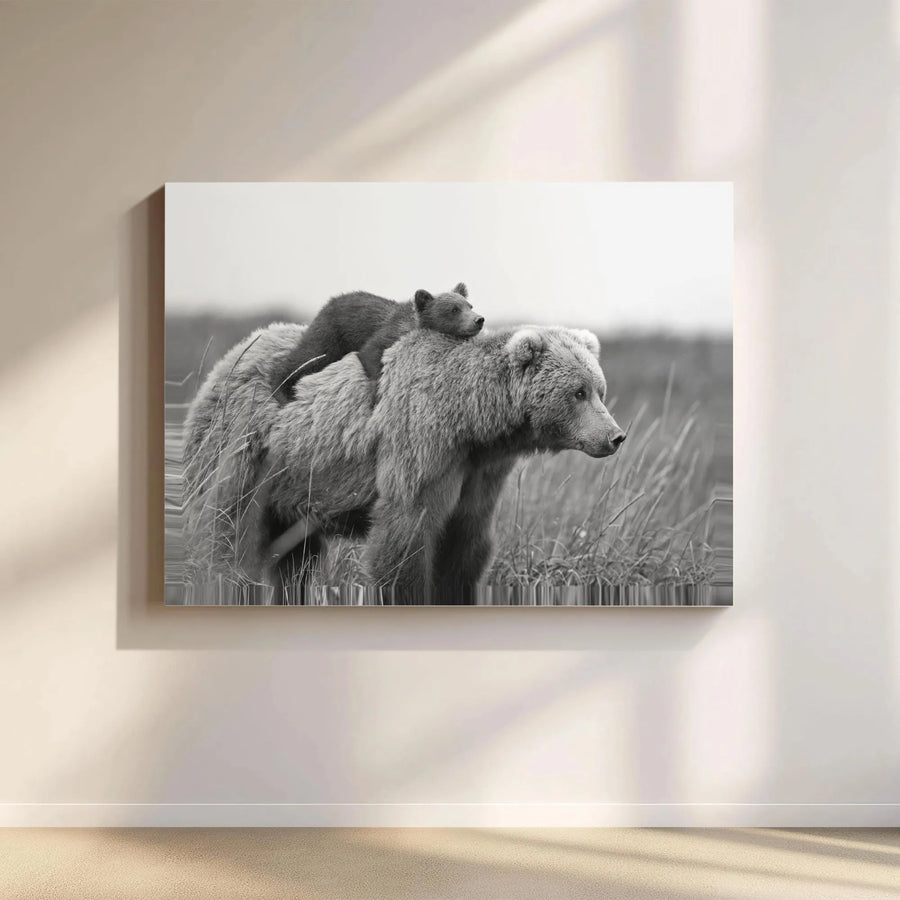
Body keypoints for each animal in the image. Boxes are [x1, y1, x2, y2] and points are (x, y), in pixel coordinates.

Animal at [180, 321, 625, 604]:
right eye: (579, 392)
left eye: (600, 389)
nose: (615, 436)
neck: (473, 422)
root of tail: (229, 357)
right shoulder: (421, 445)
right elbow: (405, 535)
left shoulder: (479, 472)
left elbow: (465, 543)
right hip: (244, 450)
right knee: (227, 527)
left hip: (294, 485)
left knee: (297, 556)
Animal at [270, 282, 483, 403]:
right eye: (454, 309)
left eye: (469, 305)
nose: (479, 319)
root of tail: (329, 302)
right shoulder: (387, 333)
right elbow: (370, 352)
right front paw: (376, 394)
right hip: (330, 334)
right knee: (308, 356)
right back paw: (281, 389)